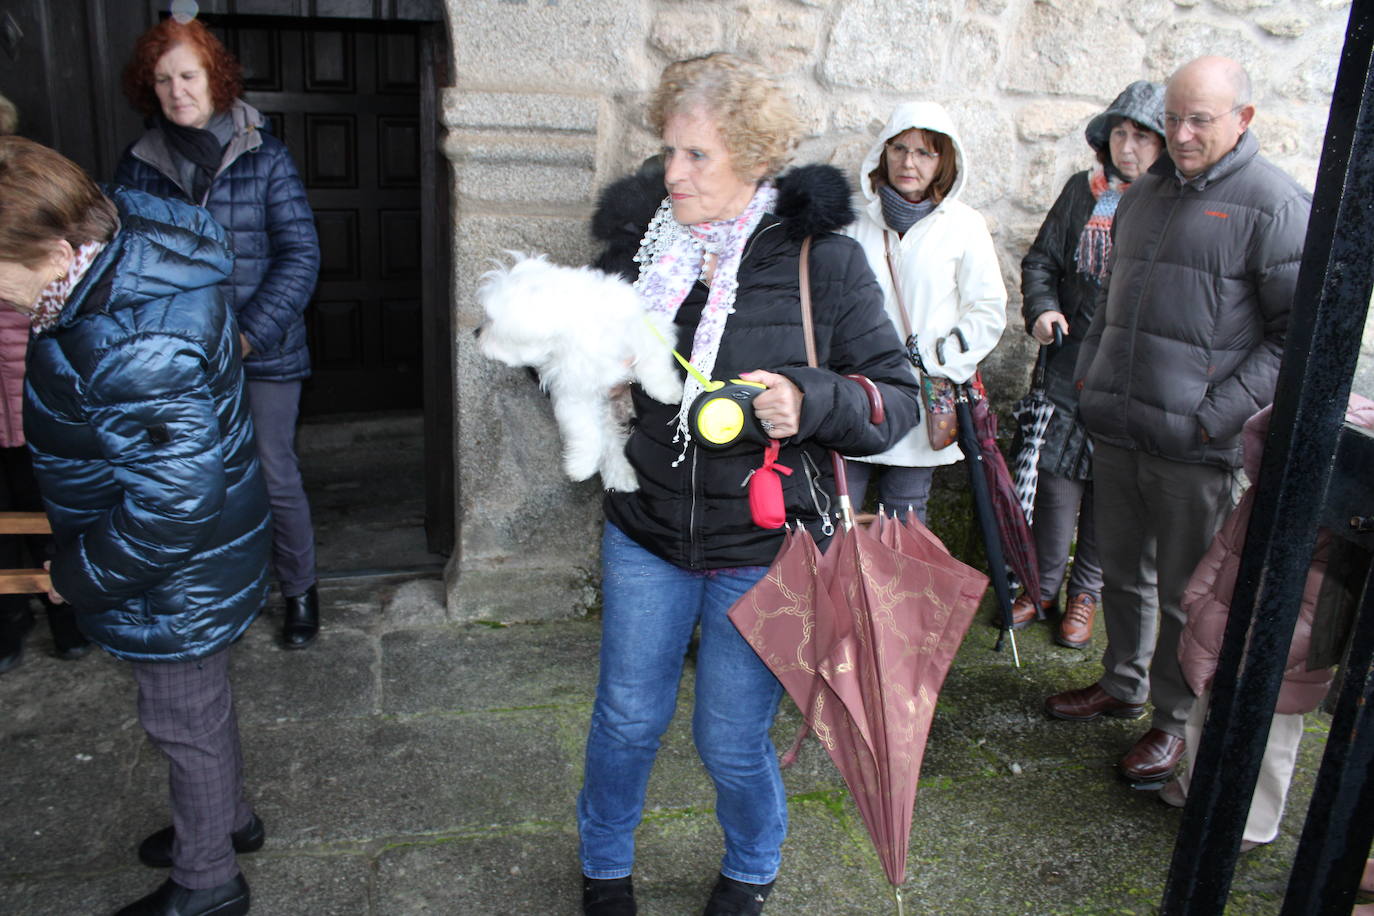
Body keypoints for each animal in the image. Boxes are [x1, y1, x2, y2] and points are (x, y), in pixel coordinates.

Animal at [478, 251, 681, 494]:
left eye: (491, 321)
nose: (476, 332)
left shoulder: (648, 329)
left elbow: (652, 363)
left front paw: (668, 391)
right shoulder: (573, 392)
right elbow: (584, 429)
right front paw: (580, 465)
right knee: (610, 442)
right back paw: (622, 477)